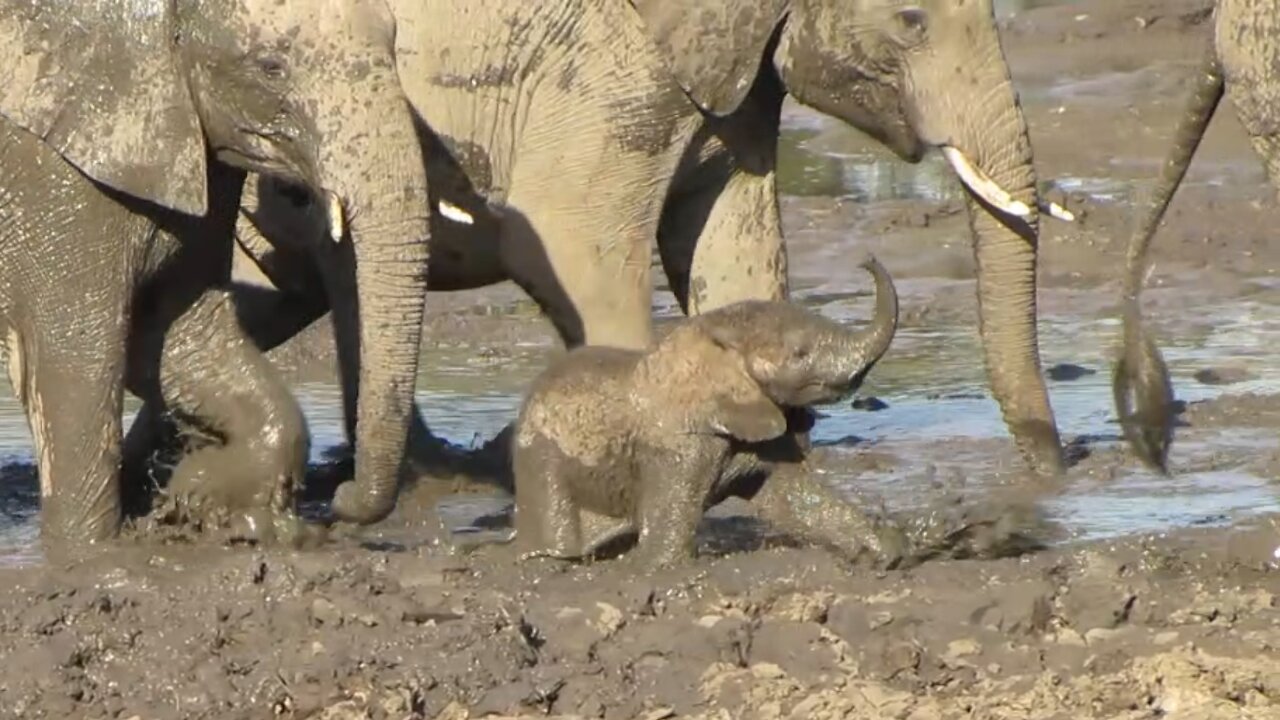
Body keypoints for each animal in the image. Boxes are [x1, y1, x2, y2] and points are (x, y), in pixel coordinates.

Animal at [0, 0, 432, 543]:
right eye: (270, 67)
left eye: (395, 40)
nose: (341, 496)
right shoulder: (55, 178)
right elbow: (76, 358)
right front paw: (89, 554)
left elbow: (174, 332)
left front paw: (206, 501)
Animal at [512, 253, 911, 566]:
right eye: (800, 352)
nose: (864, 260)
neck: (716, 334)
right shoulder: (679, 445)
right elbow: (663, 549)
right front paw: (655, 567)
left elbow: (792, 497)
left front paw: (890, 553)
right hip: (542, 463)